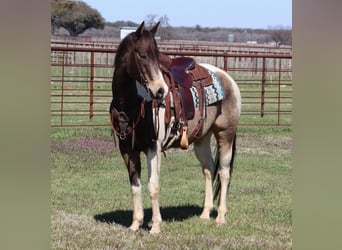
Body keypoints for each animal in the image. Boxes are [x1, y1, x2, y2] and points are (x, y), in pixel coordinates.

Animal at [109, 22, 240, 234]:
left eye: (157, 56)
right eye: (143, 55)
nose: (160, 91)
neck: (131, 103)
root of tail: (228, 79)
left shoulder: (153, 148)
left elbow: (153, 186)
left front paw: (155, 226)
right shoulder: (127, 150)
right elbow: (135, 186)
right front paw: (135, 224)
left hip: (225, 135)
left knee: (224, 172)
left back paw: (220, 217)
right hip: (202, 140)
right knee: (209, 169)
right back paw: (205, 214)